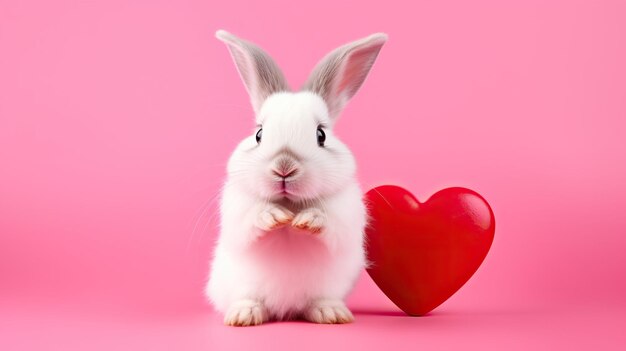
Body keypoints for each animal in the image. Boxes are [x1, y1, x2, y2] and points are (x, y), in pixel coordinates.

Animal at [207, 28, 386, 328]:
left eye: (321, 135)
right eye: (259, 134)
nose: (284, 167)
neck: (290, 203)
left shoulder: (347, 218)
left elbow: (332, 226)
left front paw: (309, 220)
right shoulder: (237, 212)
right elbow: (249, 222)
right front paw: (272, 217)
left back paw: (331, 313)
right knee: (248, 299)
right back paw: (244, 316)